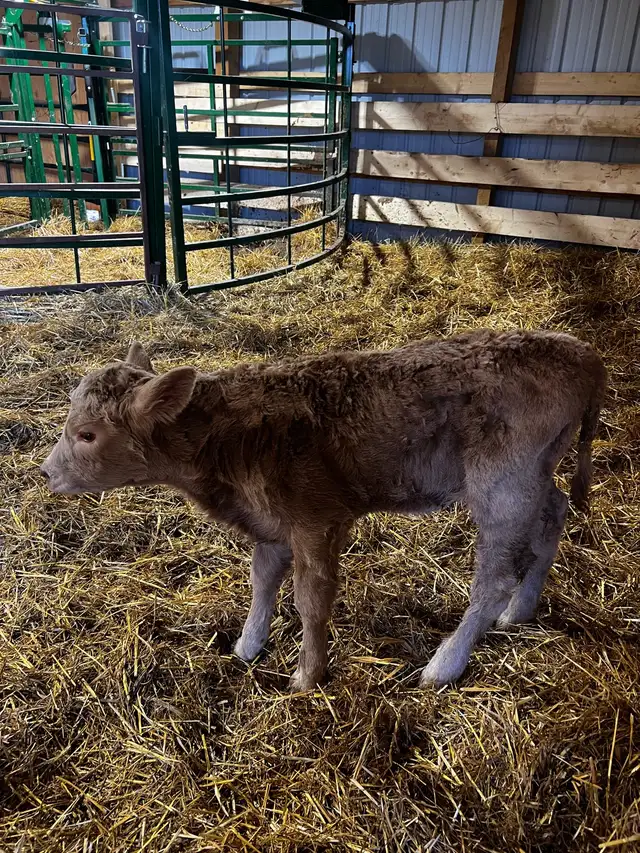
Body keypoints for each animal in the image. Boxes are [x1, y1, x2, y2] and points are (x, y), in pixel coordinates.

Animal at [41, 329, 607, 690]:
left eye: (87, 434)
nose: (46, 472)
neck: (231, 439)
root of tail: (582, 350)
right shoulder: (269, 524)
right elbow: (263, 579)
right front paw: (247, 645)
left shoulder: (317, 520)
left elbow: (311, 600)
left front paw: (306, 677)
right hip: (535, 474)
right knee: (554, 514)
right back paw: (523, 609)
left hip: (502, 485)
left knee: (494, 579)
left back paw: (446, 662)